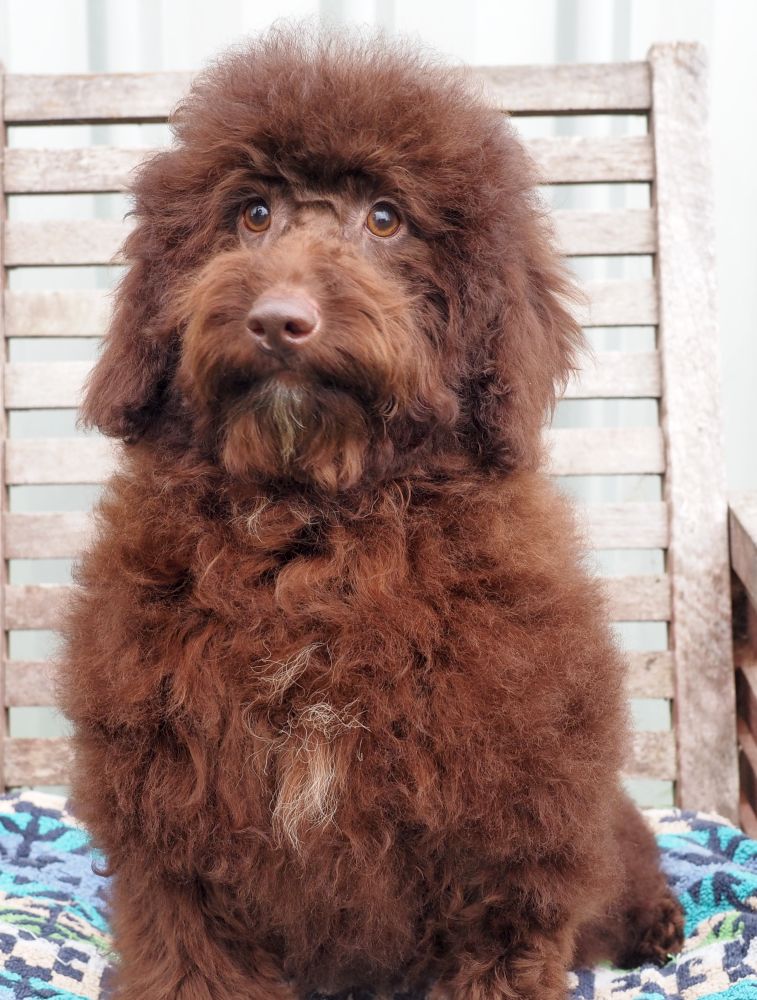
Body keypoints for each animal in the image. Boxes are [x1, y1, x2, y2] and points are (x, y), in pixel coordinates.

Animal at [57, 27, 684, 1000]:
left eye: (385, 219)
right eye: (252, 214)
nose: (279, 319)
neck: (315, 536)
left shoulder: (509, 831)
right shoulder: (179, 836)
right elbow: (192, 957)